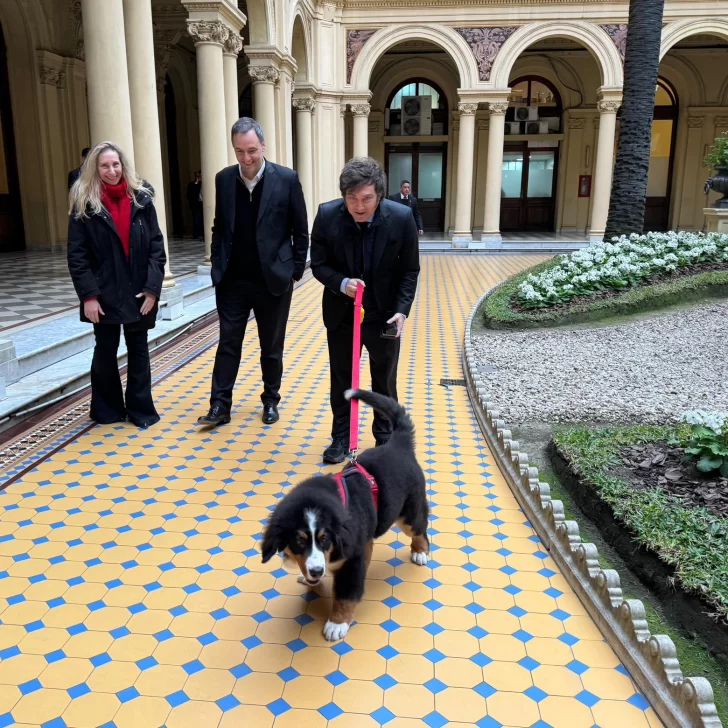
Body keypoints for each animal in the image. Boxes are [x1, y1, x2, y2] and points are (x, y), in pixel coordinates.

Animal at [262, 390, 430, 640]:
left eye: (324, 539)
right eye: (299, 541)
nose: (316, 571)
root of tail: (398, 444)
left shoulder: (352, 561)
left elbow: (346, 593)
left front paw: (337, 623)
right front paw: (308, 575)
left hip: (408, 513)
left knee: (420, 528)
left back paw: (420, 552)